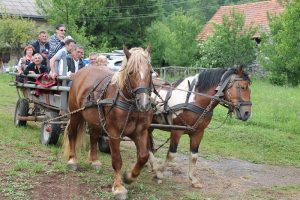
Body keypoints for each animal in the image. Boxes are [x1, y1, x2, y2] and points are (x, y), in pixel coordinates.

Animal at [63, 47, 152, 200]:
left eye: (150, 72)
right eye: (131, 72)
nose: (144, 103)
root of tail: (80, 73)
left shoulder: (140, 133)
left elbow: (143, 156)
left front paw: (129, 176)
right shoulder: (114, 134)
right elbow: (117, 160)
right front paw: (118, 187)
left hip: (96, 120)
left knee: (93, 136)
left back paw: (94, 161)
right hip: (75, 114)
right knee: (72, 133)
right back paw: (72, 160)